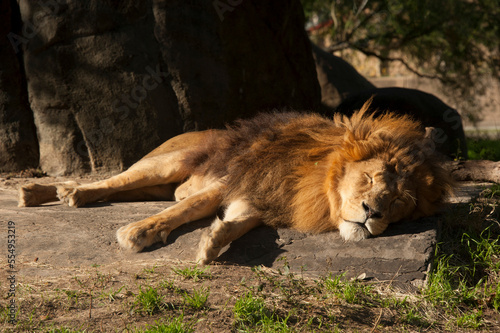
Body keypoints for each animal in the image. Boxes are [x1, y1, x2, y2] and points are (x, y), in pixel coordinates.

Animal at [17, 102, 456, 264]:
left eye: (398, 202)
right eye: (369, 178)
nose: (371, 213)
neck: (316, 186)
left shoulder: (263, 199)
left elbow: (239, 222)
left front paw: (213, 242)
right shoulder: (237, 178)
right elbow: (187, 208)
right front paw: (139, 232)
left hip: (155, 183)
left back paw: (40, 192)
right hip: (164, 164)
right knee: (111, 182)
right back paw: (68, 193)